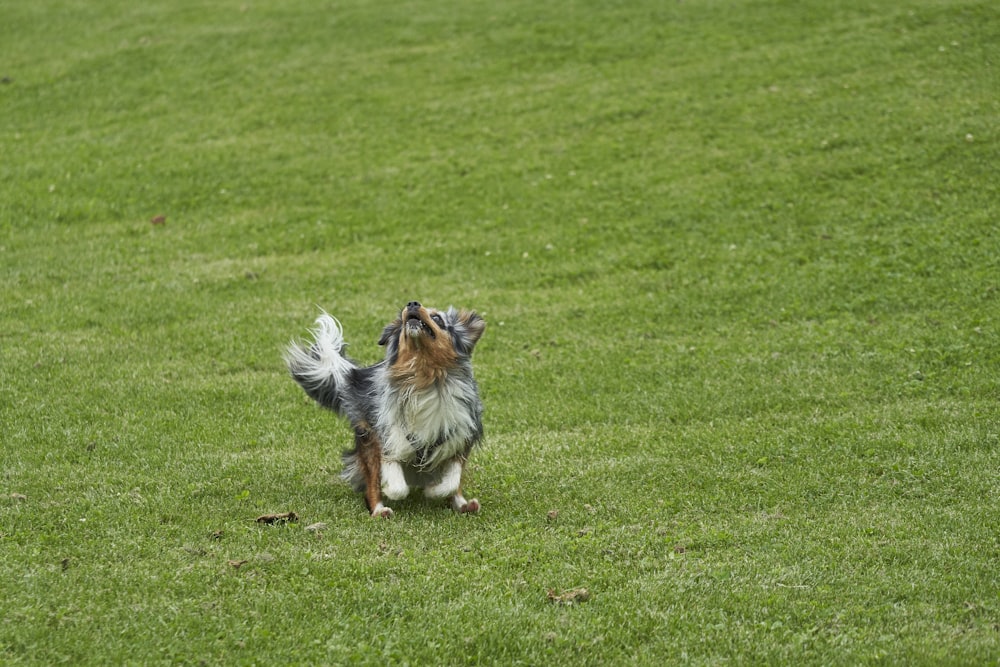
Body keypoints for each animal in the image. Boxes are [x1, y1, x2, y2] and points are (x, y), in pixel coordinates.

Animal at [284, 302, 486, 516]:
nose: (412, 303)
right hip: (366, 437)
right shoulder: (386, 436)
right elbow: (395, 482)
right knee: (372, 478)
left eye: (437, 318)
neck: (424, 376)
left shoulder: (460, 437)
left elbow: (451, 481)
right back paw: (379, 510)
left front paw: (433, 490)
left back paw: (464, 505)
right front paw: (390, 489)